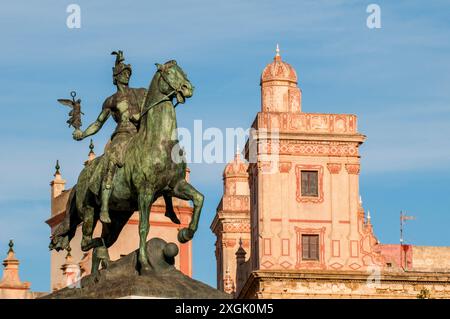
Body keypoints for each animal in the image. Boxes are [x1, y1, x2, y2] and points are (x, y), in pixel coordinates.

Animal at [49, 60, 204, 276]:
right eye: (170, 73)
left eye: (183, 71)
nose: (188, 88)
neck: (159, 142)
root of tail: (81, 179)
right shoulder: (145, 191)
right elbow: (144, 227)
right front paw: (145, 264)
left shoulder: (176, 185)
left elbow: (199, 199)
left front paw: (185, 233)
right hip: (89, 210)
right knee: (86, 241)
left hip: (118, 219)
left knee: (99, 243)